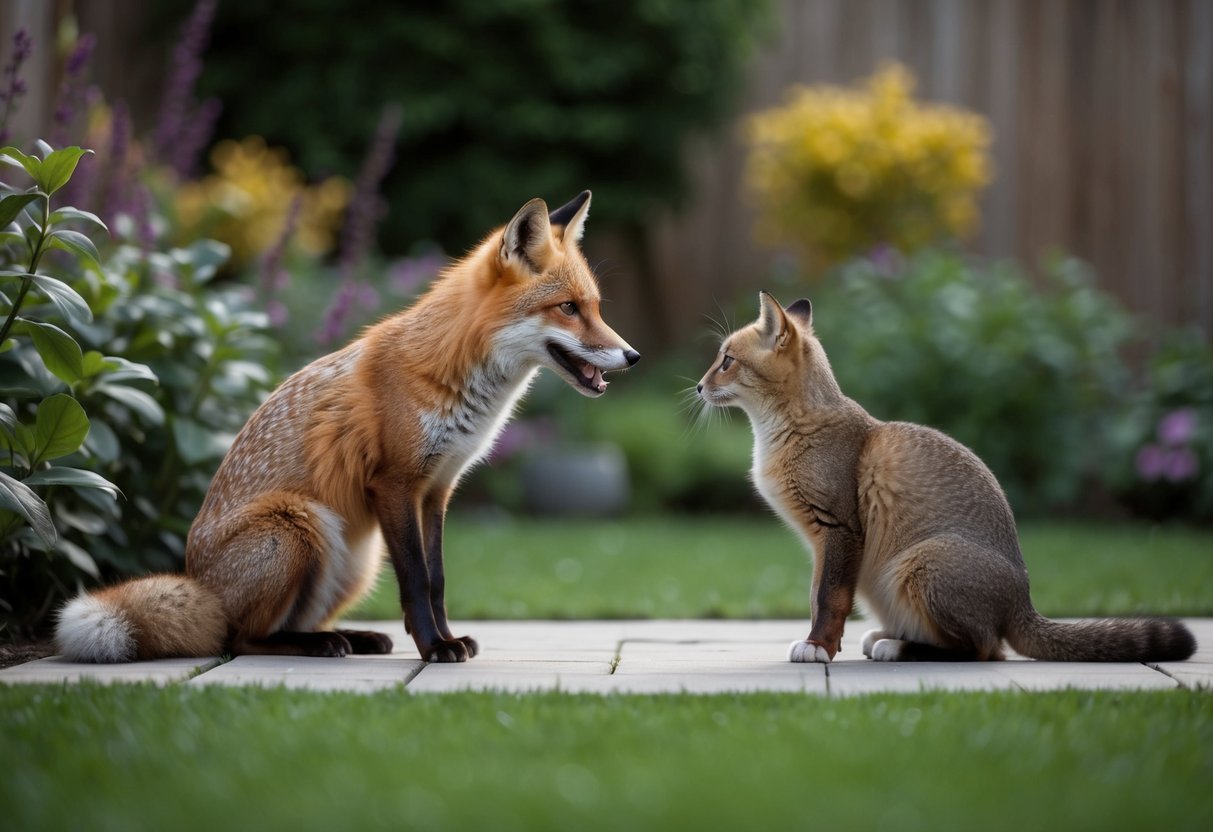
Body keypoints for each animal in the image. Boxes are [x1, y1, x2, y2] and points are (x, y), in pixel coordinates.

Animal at [56, 191, 639, 664]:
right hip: (298, 526)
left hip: (355, 557)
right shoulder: (395, 483)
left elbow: (438, 579)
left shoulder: (438, 489)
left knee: (288, 621)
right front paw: (433, 649)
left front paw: (447, 639)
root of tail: (201, 585)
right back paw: (317, 645)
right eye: (568, 308)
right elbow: (416, 580)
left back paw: (352, 637)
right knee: (239, 638)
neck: (454, 374)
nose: (632, 355)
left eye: (596, 308)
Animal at [697, 292, 1196, 664]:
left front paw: (818, 647)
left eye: (726, 361)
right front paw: (822, 643)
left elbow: (828, 600)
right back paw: (892, 638)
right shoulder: (824, 543)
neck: (794, 431)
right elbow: (817, 594)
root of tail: (1023, 601)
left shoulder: (838, 529)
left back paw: (898, 647)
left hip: (918, 565)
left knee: (987, 649)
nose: (698, 387)